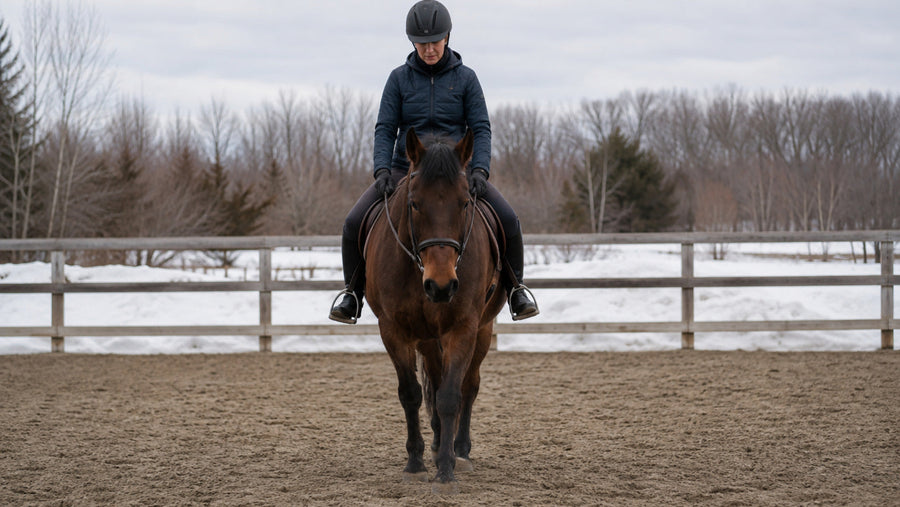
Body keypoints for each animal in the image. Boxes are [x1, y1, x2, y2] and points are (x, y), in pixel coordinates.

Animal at [364, 127, 507, 494]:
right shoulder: (393, 330)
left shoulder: (463, 328)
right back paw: (438, 442)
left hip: (482, 330)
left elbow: (450, 397)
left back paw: (460, 450)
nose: (441, 286)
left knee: (469, 385)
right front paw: (415, 463)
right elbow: (411, 394)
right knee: (434, 378)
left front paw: (445, 469)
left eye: (465, 202)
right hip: (428, 339)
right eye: (414, 203)